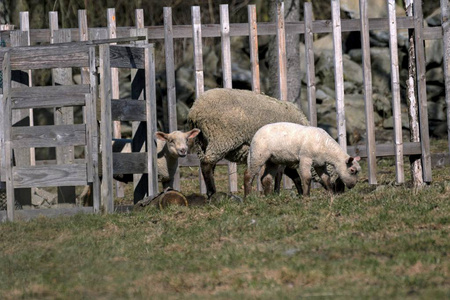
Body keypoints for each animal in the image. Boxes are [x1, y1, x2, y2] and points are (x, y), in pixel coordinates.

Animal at [188, 88, 340, 198]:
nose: (341, 192)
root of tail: (194, 110)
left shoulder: (285, 157)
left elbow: (293, 176)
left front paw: (297, 192)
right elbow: (281, 175)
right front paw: (277, 193)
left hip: (205, 141)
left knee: (208, 165)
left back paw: (210, 192)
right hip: (221, 138)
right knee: (207, 164)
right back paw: (212, 193)